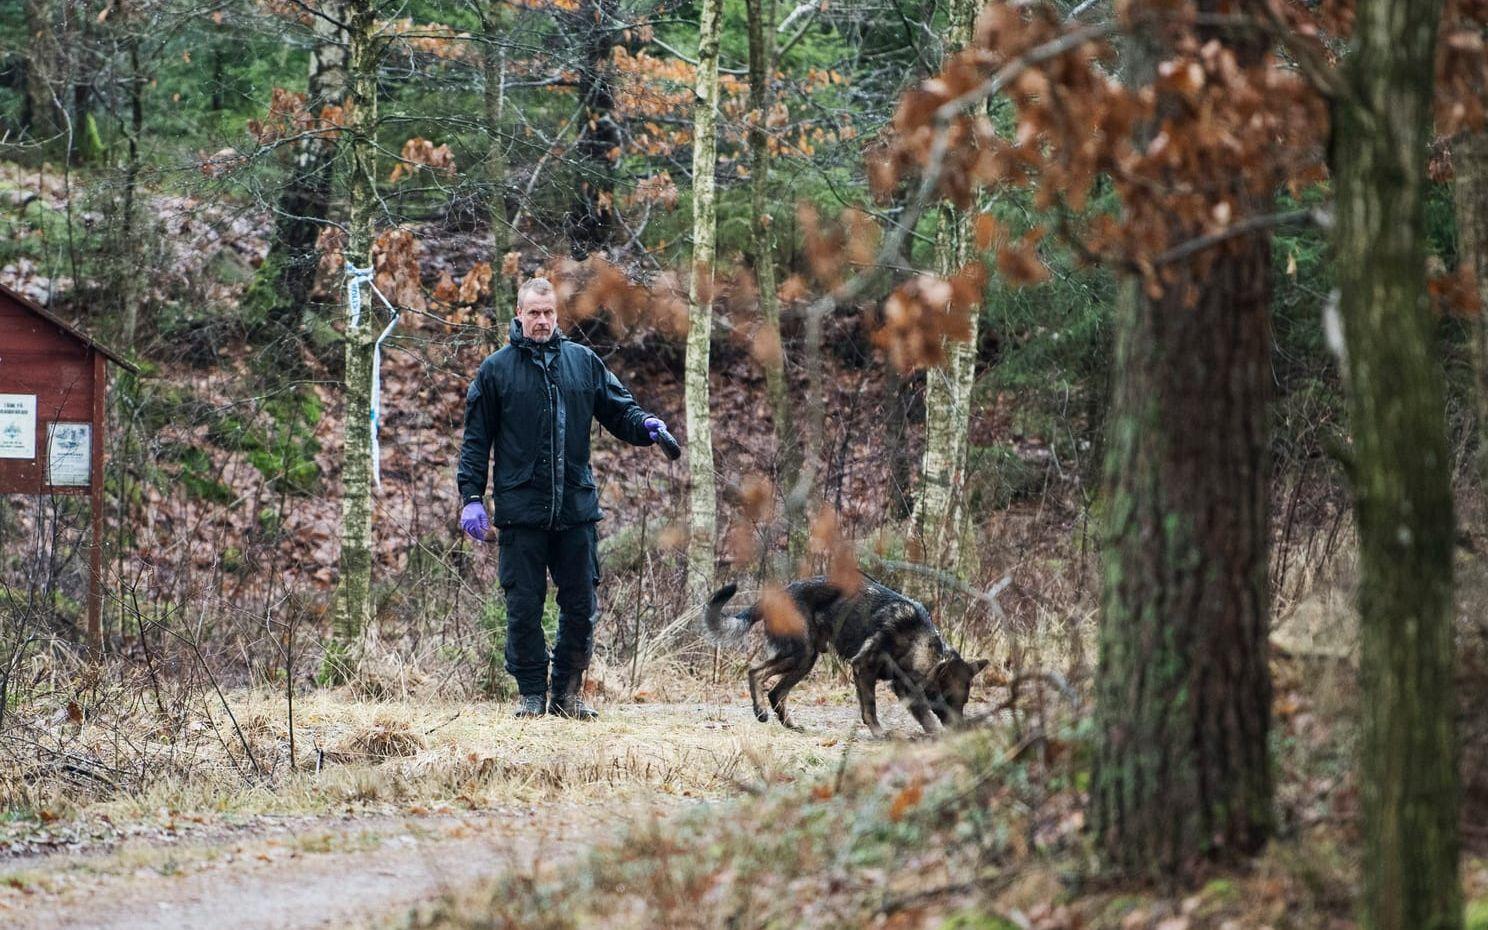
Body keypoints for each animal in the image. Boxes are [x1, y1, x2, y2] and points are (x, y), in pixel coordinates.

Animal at [699, 577, 988, 735]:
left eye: (963, 701)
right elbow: (871, 708)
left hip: (806, 659)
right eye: (947, 698)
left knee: (773, 689)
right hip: (801, 655)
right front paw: (880, 733)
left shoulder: (904, 687)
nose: (959, 728)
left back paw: (788, 723)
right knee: (756, 672)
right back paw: (761, 711)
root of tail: (776, 596)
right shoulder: (864, 669)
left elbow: (925, 718)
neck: (916, 639)